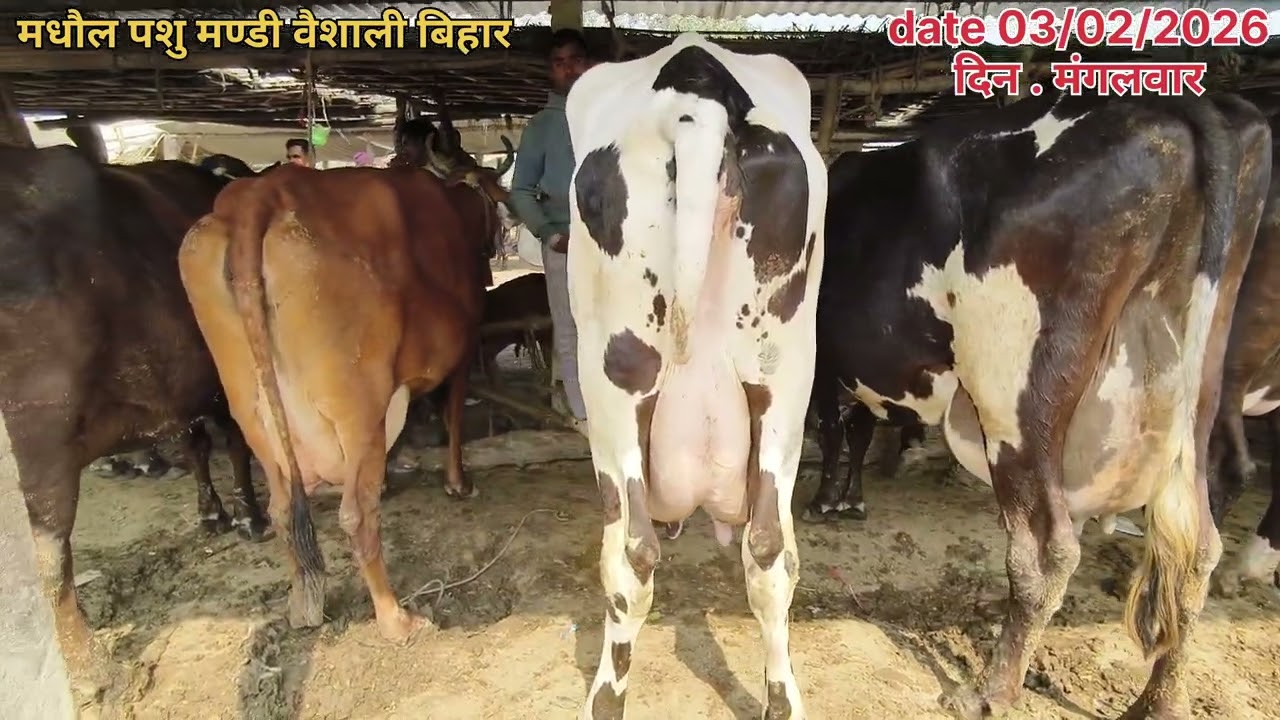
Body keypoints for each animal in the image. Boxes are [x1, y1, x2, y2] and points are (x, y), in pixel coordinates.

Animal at [0, 146, 271, 692]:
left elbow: (198, 445)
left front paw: (213, 512)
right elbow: (232, 443)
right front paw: (247, 515)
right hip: (39, 444)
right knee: (49, 561)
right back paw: (93, 667)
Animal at [177, 159, 509, 643]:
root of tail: (258, 195)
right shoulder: (462, 353)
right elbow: (452, 416)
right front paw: (457, 482)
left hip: (252, 412)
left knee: (282, 511)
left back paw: (302, 605)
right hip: (357, 406)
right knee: (355, 515)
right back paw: (395, 618)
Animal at [565, 33, 827, 718]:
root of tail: (695, 88)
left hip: (614, 384)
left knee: (630, 558)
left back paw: (604, 699)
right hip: (784, 378)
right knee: (769, 553)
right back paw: (783, 700)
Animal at [807, 90, 1270, 718]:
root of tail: (1173, 107)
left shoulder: (821, 361)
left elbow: (836, 430)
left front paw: (827, 499)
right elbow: (855, 431)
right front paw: (849, 497)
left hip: (1016, 391)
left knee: (1046, 549)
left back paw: (989, 693)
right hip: (1201, 378)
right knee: (1196, 545)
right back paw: (1158, 702)